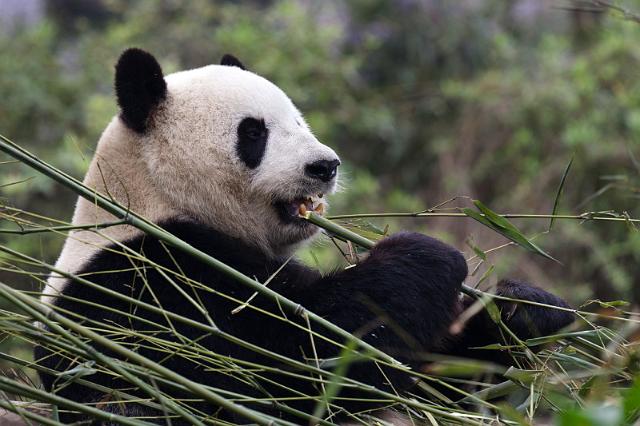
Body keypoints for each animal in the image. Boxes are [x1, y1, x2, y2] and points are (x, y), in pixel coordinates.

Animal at [35, 48, 576, 424]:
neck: (150, 197)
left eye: (298, 120)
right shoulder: (149, 285)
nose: (324, 166)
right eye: (254, 132)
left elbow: (433, 378)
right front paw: (424, 255)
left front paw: (526, 309)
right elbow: (296, 357)